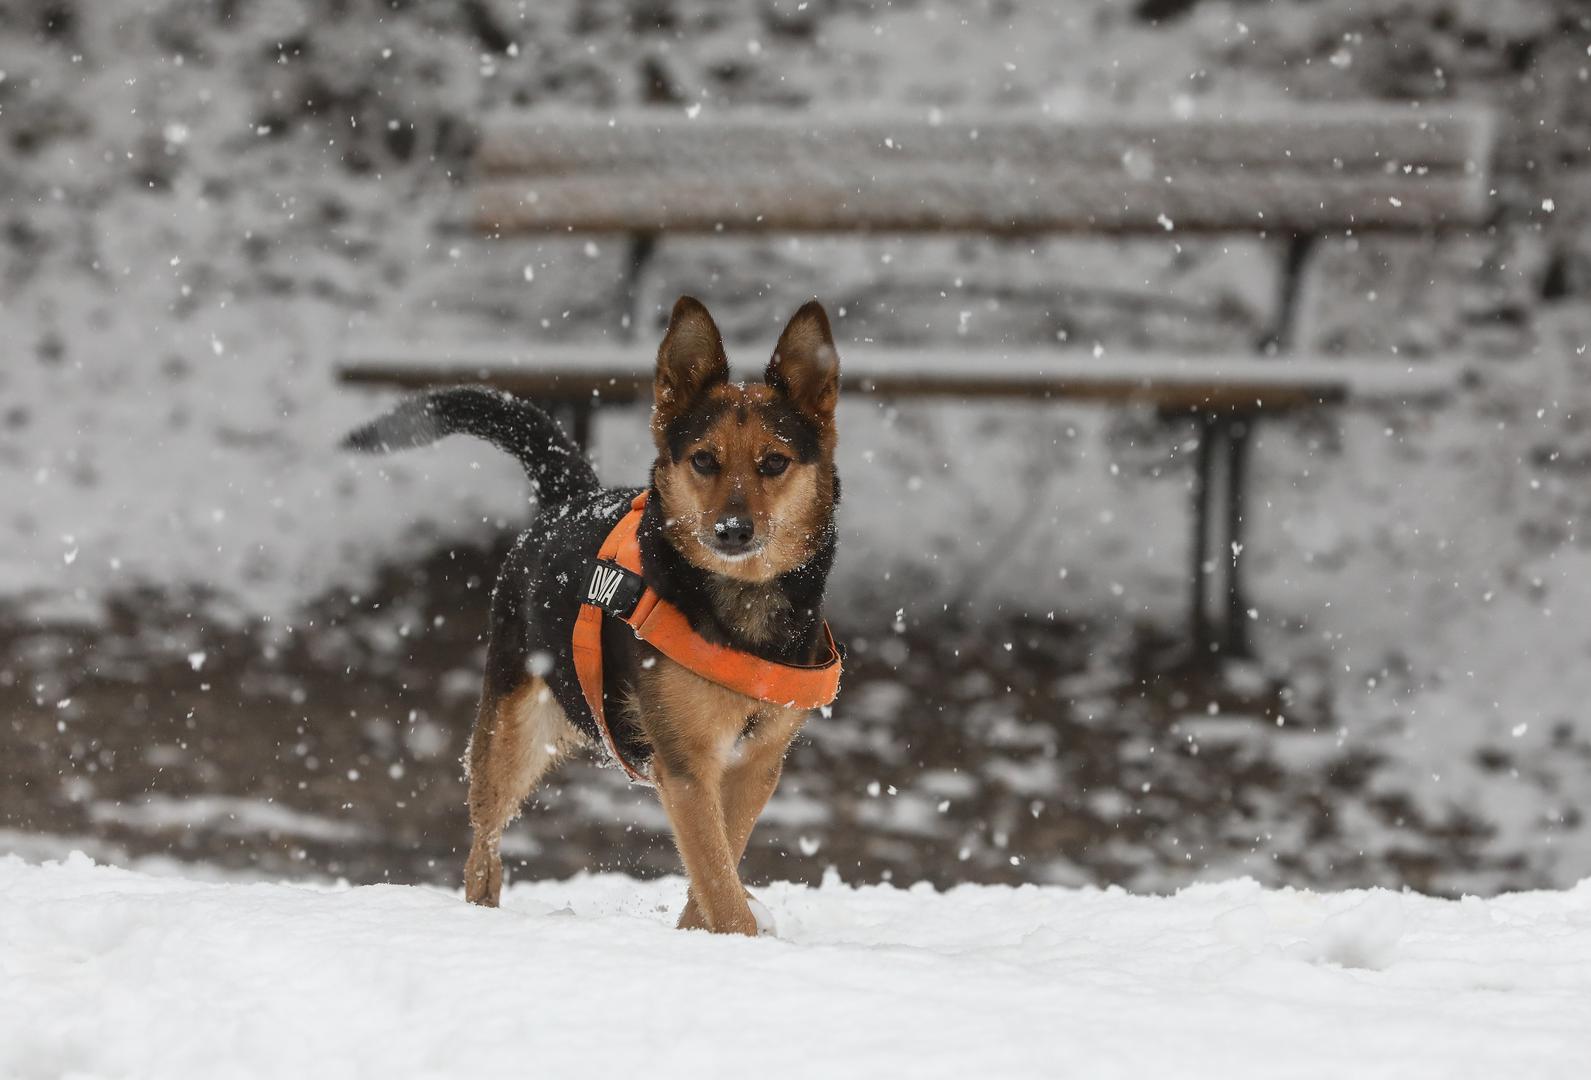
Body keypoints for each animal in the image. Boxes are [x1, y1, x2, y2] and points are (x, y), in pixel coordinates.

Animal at [348, 297, 846, 935]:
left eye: (775, 463)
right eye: (704, 460)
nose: (732, 530)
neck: (740, 603)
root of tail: (567, 497)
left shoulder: (757, 765)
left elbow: (716, 869)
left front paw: (699, 936)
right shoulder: (685, 766)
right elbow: (718, 880)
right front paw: (739, 939)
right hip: (512, 728)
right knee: (483, 848)